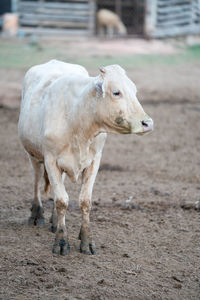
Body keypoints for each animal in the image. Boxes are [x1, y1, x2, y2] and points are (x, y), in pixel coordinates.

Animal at [18, 60, 153, 255]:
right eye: (116, 92)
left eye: (134, 90)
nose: (147, 123)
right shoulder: (51, 160)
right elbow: (62, 201)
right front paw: (61, 241)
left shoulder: (94, 161)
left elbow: (84, 201)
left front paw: (86, 240)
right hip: (33, 155)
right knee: (36, 181)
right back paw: (37, 215)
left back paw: (54, 221)